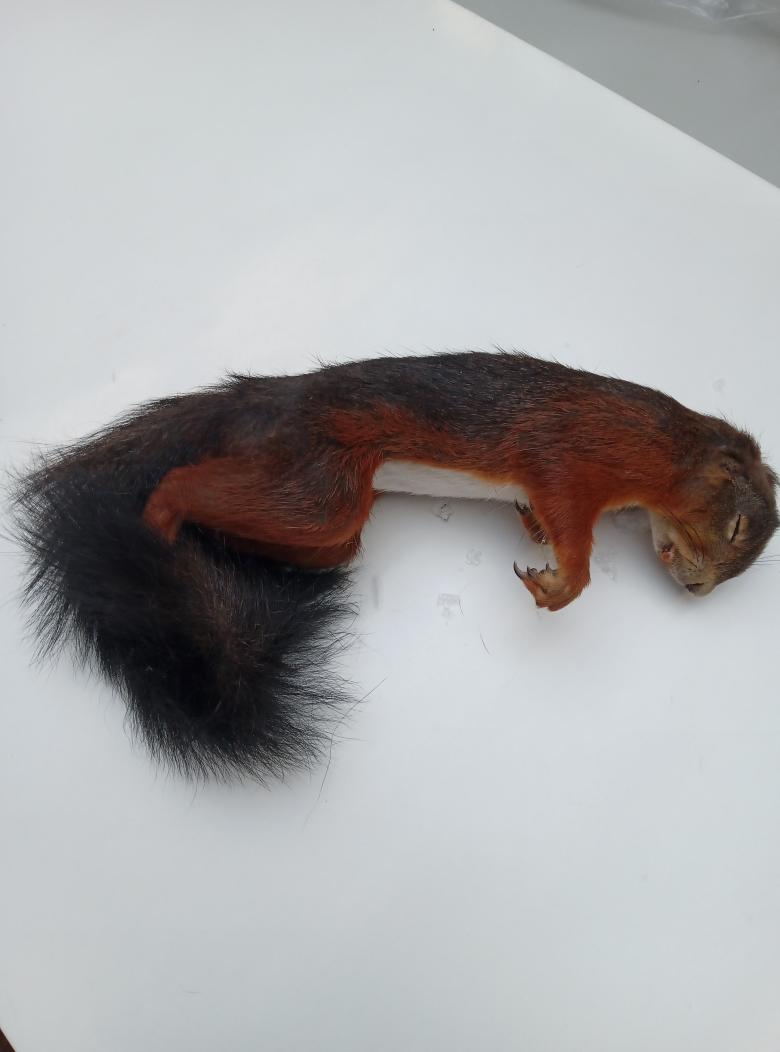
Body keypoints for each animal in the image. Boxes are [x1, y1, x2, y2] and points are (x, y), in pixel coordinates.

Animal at [13, 351, 778, 779]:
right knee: (178, 486)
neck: (666, 446)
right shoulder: (575, 455)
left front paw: (531, 535)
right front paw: (556, 583)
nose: (698, 590)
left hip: (328, 514)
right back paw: (156, 547)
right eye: (738, 524)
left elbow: (538, 514)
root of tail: (256, 401)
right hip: (316, 488)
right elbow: (572, 531)